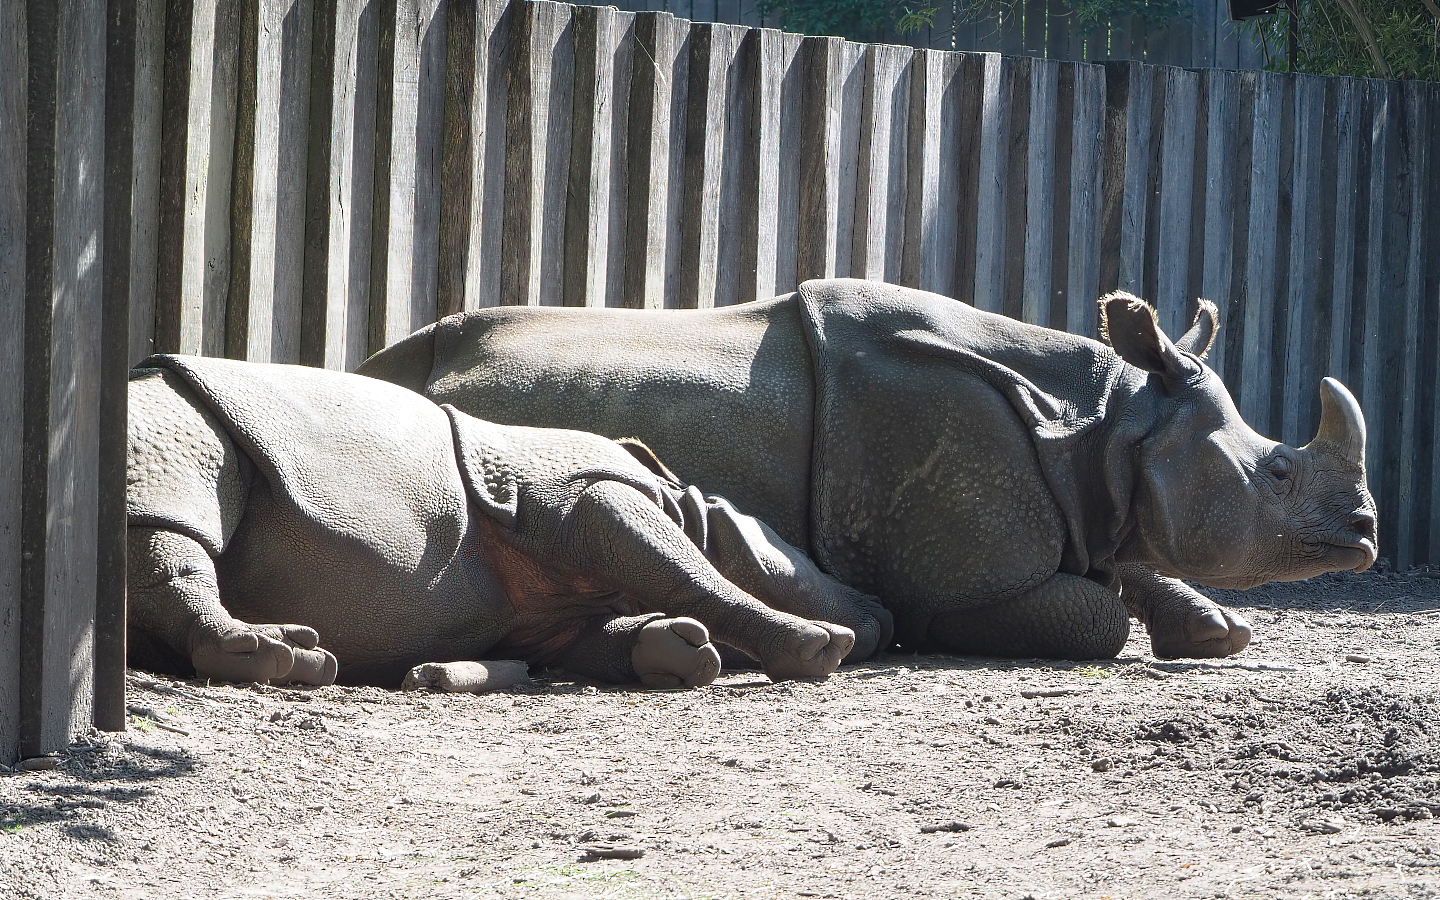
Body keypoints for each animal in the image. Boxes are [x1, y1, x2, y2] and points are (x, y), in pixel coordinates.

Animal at [126, 354, 885, 690]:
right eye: (779, 557)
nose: (880, 616)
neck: (685, 502)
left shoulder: (548, 616)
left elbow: (593, 638)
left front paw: (679, 651)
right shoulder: (585, 495)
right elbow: (687, 569)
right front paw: (820, 646)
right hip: (165, 426)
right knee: (174, 508)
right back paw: (286, 654)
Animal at [356, 278, 1378, 661]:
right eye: (1277, 474)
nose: (1366, 533)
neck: (1106, 424)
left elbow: (1122, 562)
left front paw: (1212, 628)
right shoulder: (972, 569)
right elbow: (1091, 615)